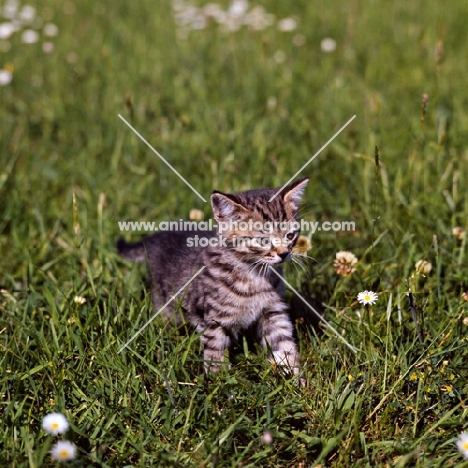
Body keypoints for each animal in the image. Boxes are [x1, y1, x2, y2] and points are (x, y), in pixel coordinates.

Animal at [118, 177, 308, 374]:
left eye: (290, 235)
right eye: (263, 241)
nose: (284, 254)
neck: (254, 275)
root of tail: (160, 235)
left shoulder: (274, 311)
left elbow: (284, 344)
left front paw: (295, 376)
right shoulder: (213, 319)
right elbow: (215, 350)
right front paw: (220, 378)